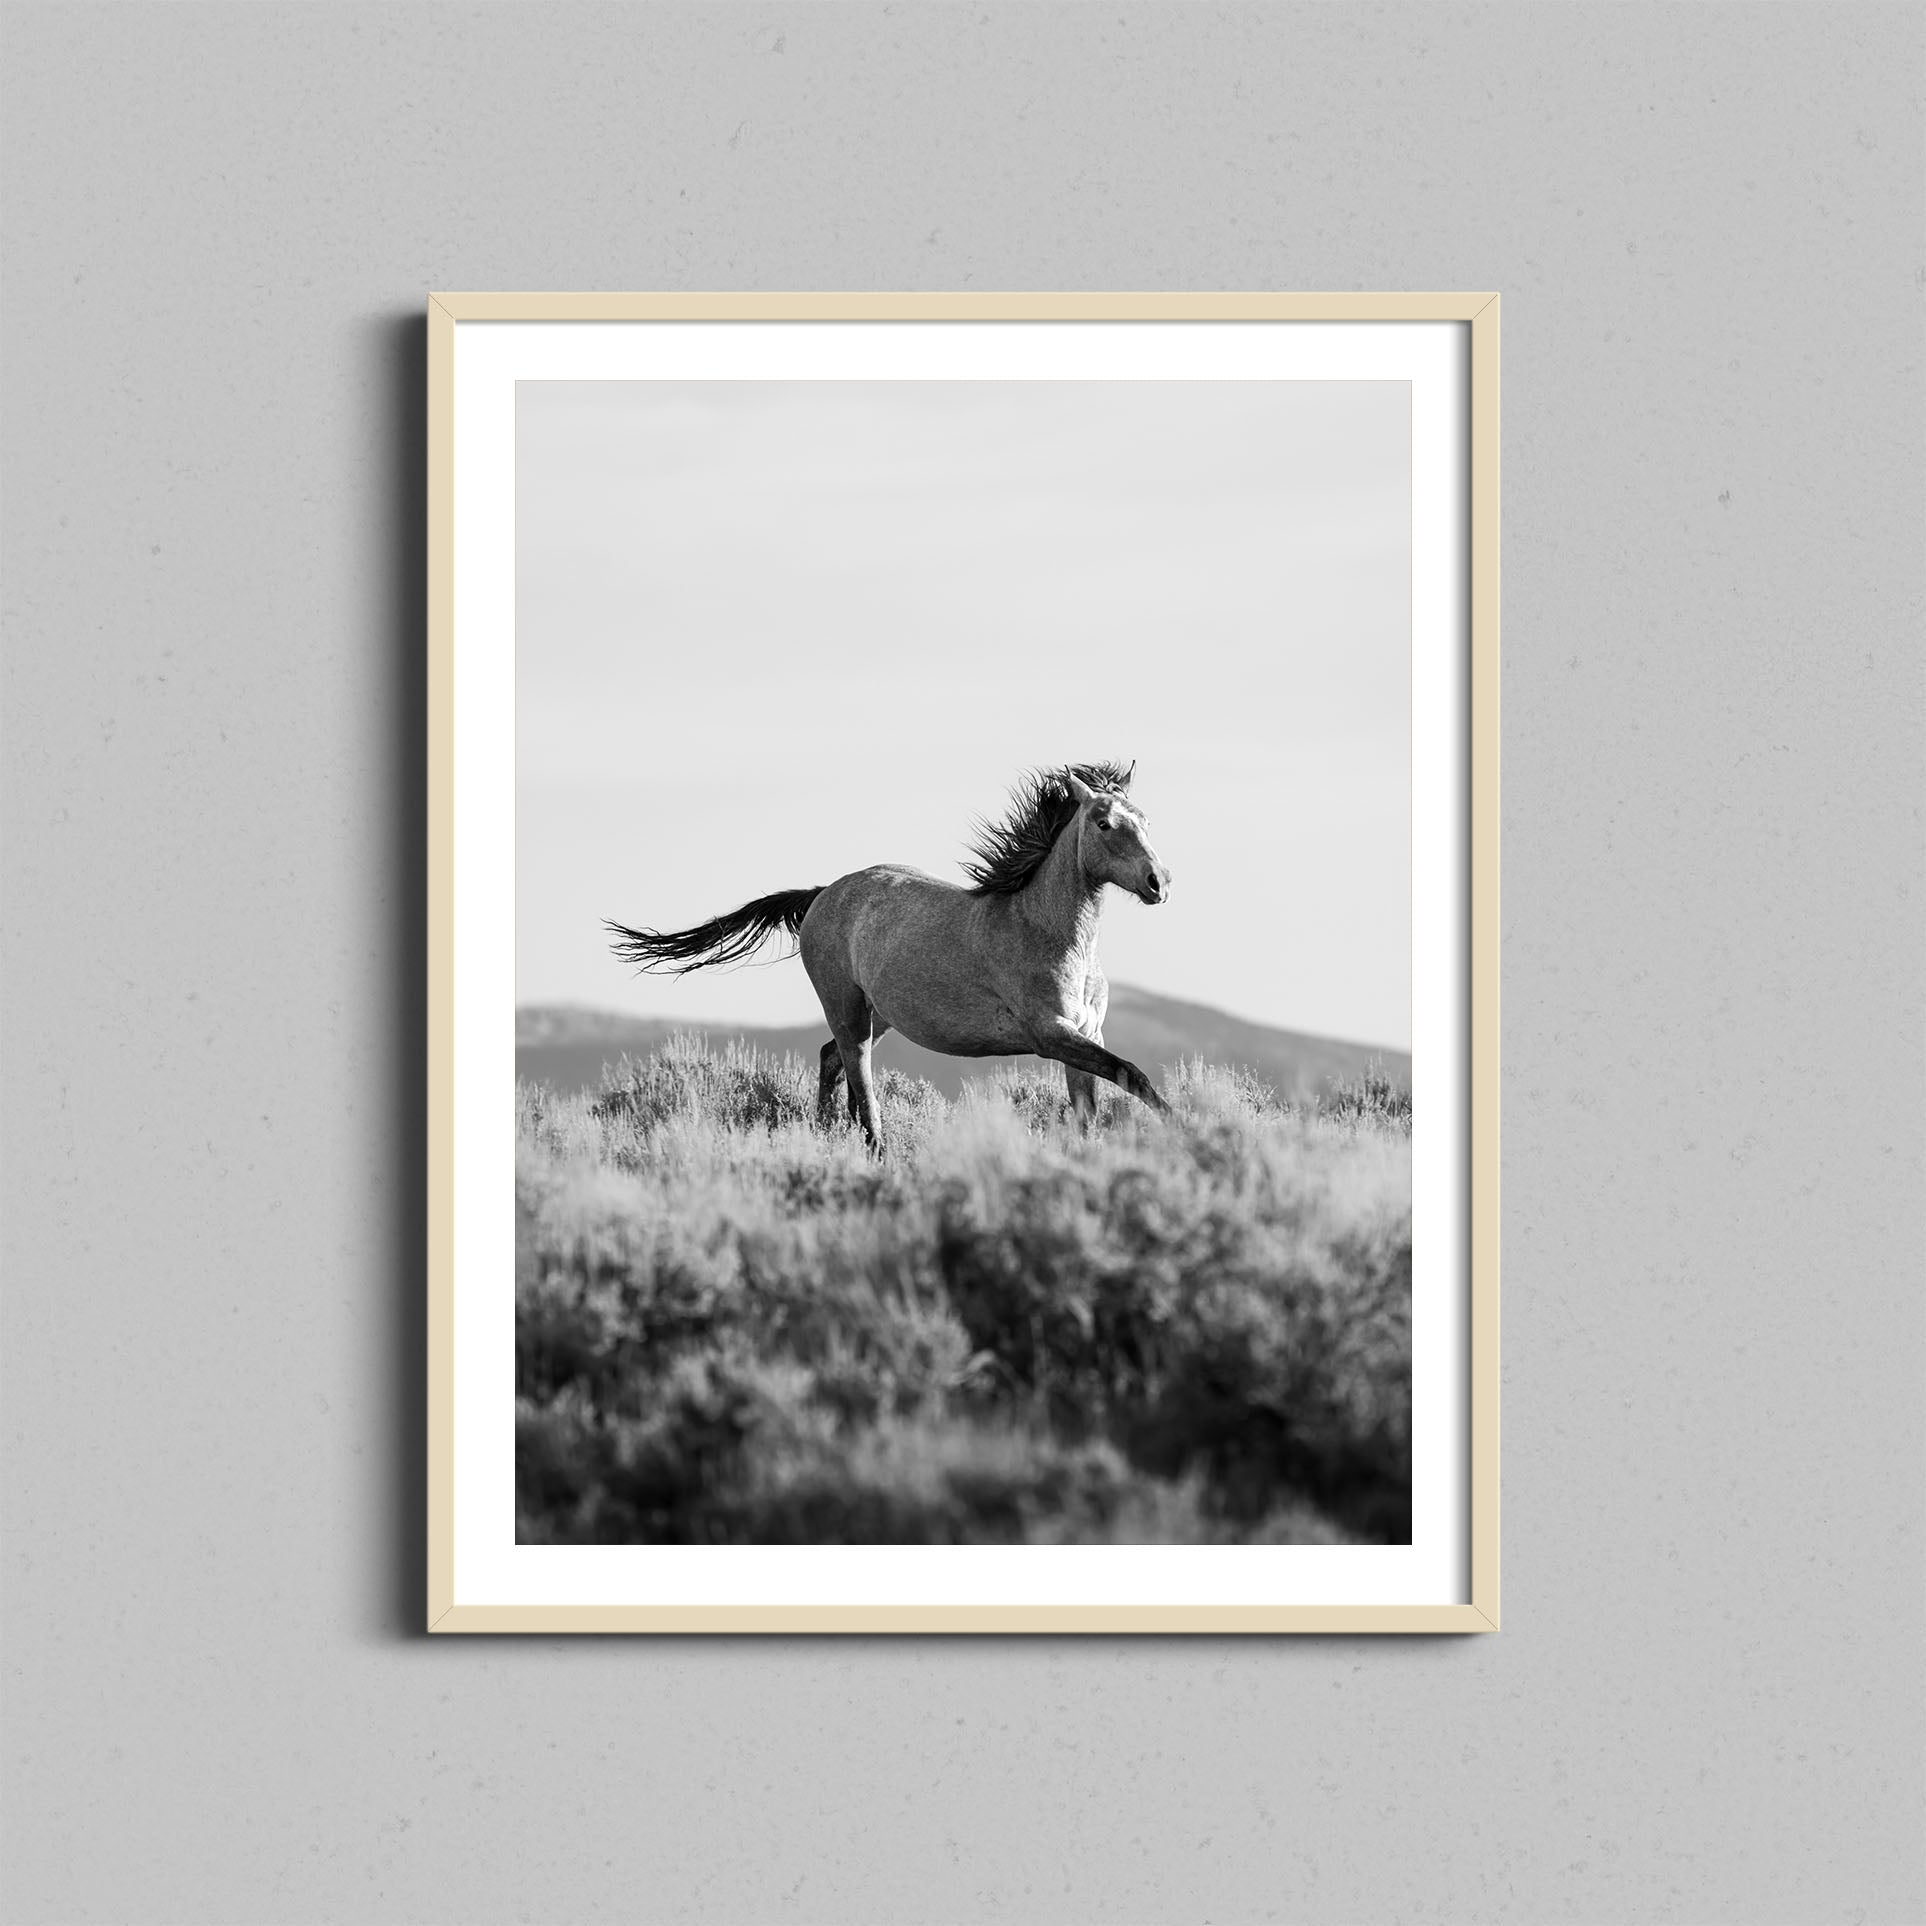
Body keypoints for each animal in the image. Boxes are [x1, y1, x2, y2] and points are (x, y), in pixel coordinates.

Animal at [606, 761, 1173, 1149]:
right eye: (1103, 822)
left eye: (1145, 819)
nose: (1159, 882)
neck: (1045, 931)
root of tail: (823, 894)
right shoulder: (1051, 1034)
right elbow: (1131, 1074)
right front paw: (1184, 1128)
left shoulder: (1086, 1033)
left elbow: (1094, 1107)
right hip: (847, 1008)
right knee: (860, 1077)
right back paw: (872, 1151)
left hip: (879, 1015)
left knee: (832, 1060)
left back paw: (825, 1134)